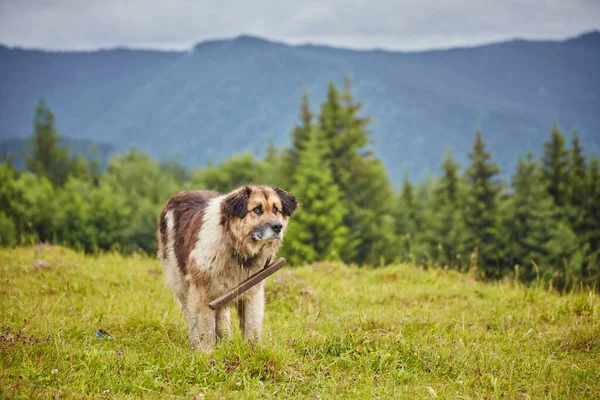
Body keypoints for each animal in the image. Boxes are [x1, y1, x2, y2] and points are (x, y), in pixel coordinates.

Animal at [157, 183, 298, 352]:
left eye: (276, 209)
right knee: (190, 317)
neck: (235, 246)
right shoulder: (201, 292)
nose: (278, 227)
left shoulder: (252, 291)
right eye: (257, 209)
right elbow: (205, 327)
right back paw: (196, 342)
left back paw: (225, 340)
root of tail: (178, 195)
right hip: (181, 283)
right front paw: (206, 353)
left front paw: (253, 351)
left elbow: (252, 327)